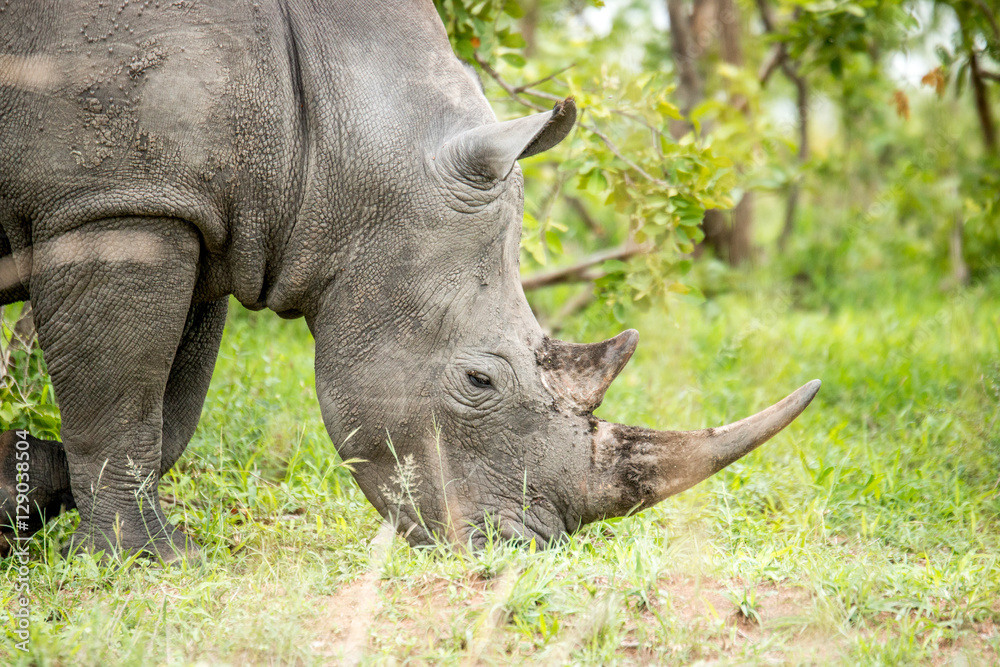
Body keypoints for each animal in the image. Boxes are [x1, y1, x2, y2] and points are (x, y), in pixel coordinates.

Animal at [0, 0, 820, 559]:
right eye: (479, 380)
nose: (527, 547)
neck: (335, 129)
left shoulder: (191, 210)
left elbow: (168, 411)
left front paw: (24, 486)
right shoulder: (119, 203)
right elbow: (123, 399)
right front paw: (151, 559)